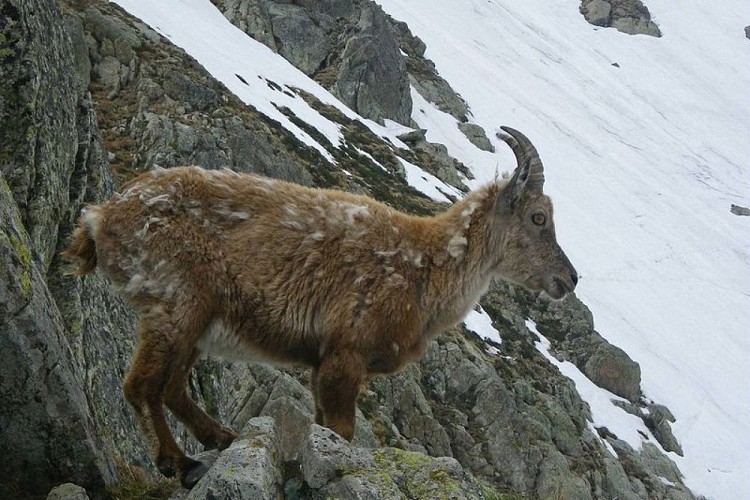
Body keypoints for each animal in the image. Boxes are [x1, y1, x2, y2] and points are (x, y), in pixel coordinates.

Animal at [63, 126, 577, 488]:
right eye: (538, 217)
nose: (569, 280)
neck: (424, 267)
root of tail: (101, 216)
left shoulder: (318, 363)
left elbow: (321, 428)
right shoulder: (345, 355)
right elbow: (342, 432)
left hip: (196, 322)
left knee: (170, 387)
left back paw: (219, 438)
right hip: (176, 303)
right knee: (142, 385)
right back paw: (179, 462)